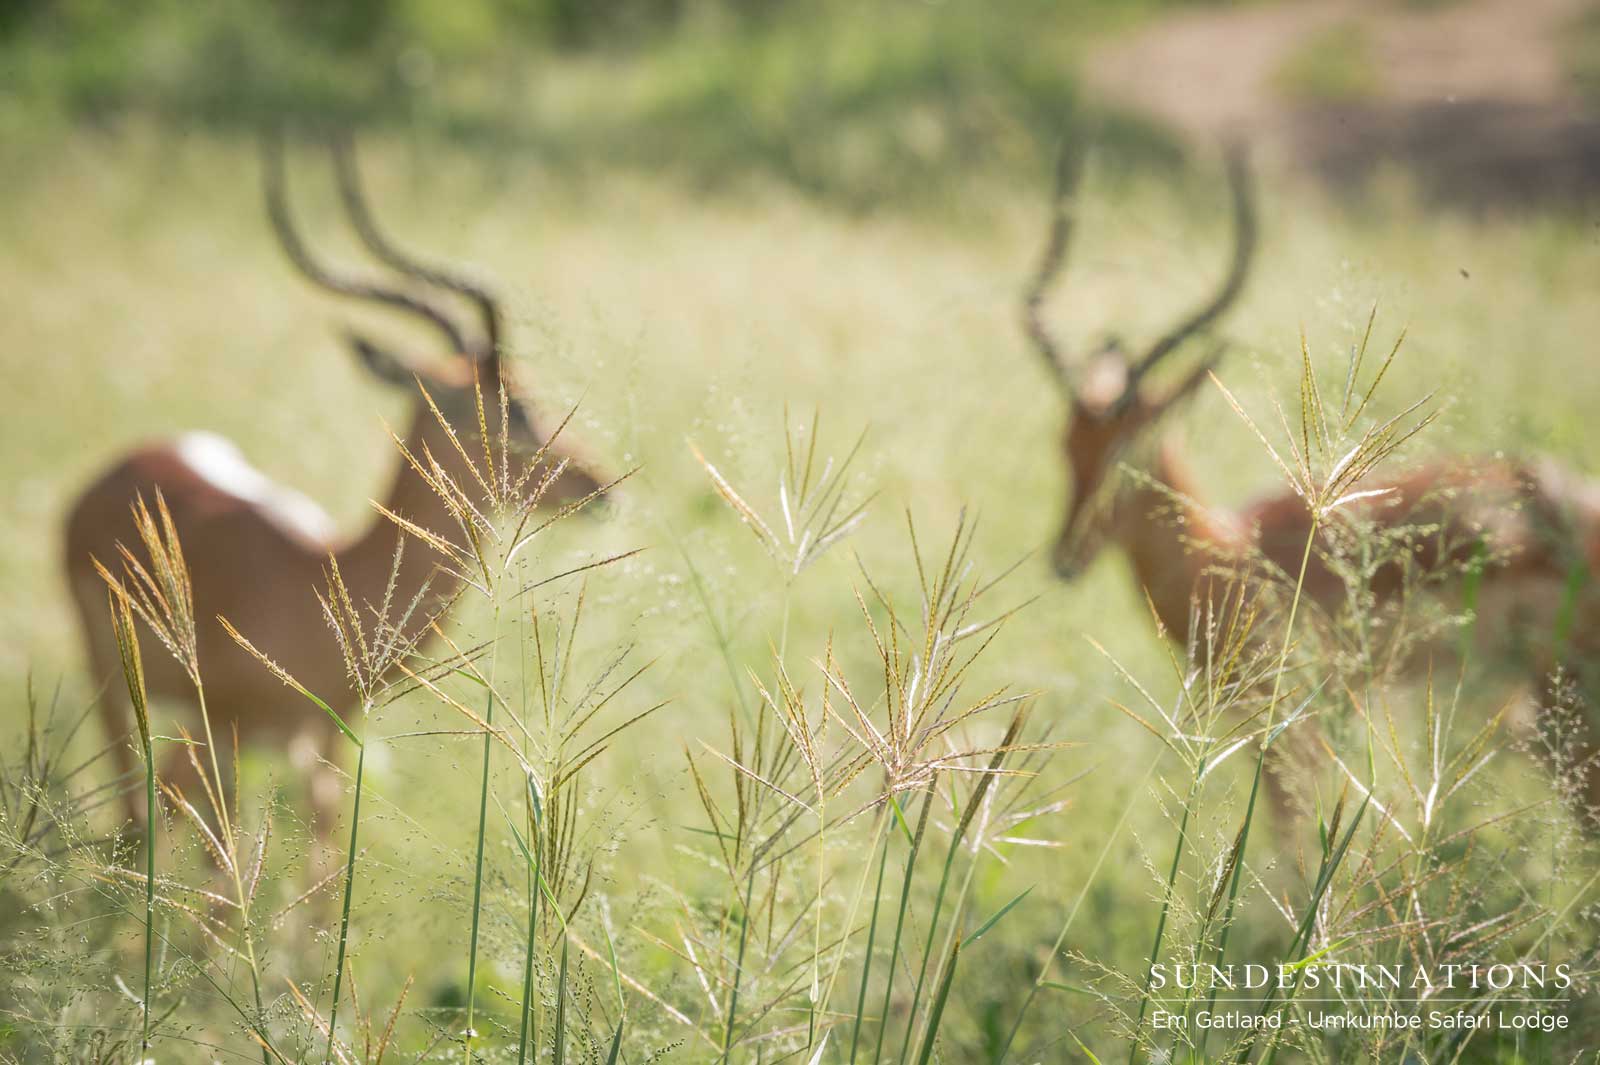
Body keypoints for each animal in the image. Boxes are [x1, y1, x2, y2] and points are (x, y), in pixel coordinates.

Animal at [65, 135, 607, 826]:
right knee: (138, 804)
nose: (598, 484)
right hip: (113, 686)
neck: (327, 574)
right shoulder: (228, 730)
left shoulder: (327, 736)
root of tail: (121, 464)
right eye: (516, 406)